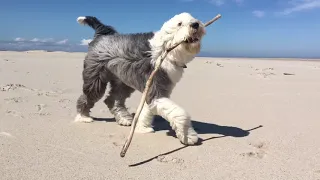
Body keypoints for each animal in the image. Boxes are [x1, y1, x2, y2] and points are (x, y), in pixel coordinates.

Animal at [74, 12, 206, 145]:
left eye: (193, 19)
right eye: (179, 24)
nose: (195, 24)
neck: (166, 49)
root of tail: (102, 35)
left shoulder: (152, 89)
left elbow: (146, 111)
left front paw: (142, 128)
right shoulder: (155, 89)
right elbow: (180, 113)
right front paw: (189, 136)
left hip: (122, 81)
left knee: (113, 99)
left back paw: (124, 119)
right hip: (95, 77)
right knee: (88, 95)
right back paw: (83, 117)